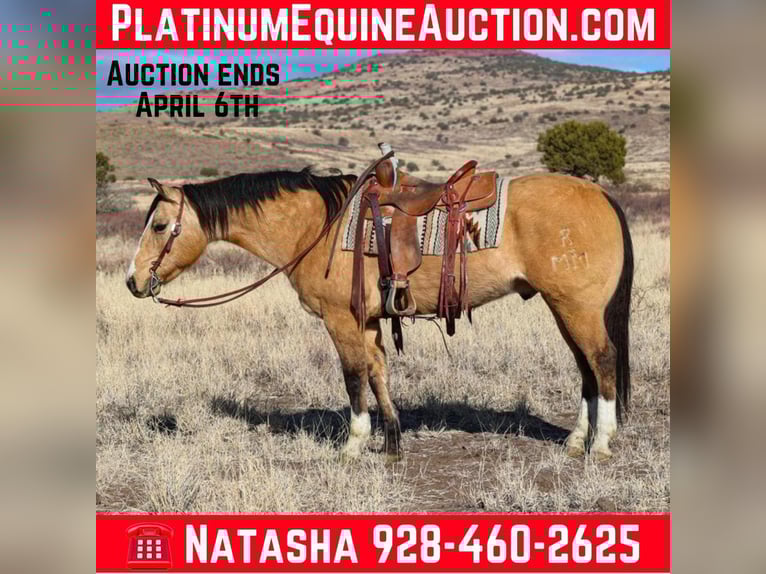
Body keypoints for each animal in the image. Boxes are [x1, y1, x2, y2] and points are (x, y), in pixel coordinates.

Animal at [126, 166, 633, 461]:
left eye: (159, 225)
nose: (132, 281)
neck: (317, 226)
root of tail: (601, 195)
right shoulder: (368, 320)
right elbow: (378, 372)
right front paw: (391, 440)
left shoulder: (340, 320)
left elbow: (353, 376)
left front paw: (354, 443)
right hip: (563, 307)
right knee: (586, 369)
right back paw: (576, 440)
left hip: (578, 307)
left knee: (602, 361)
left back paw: (602, 443)